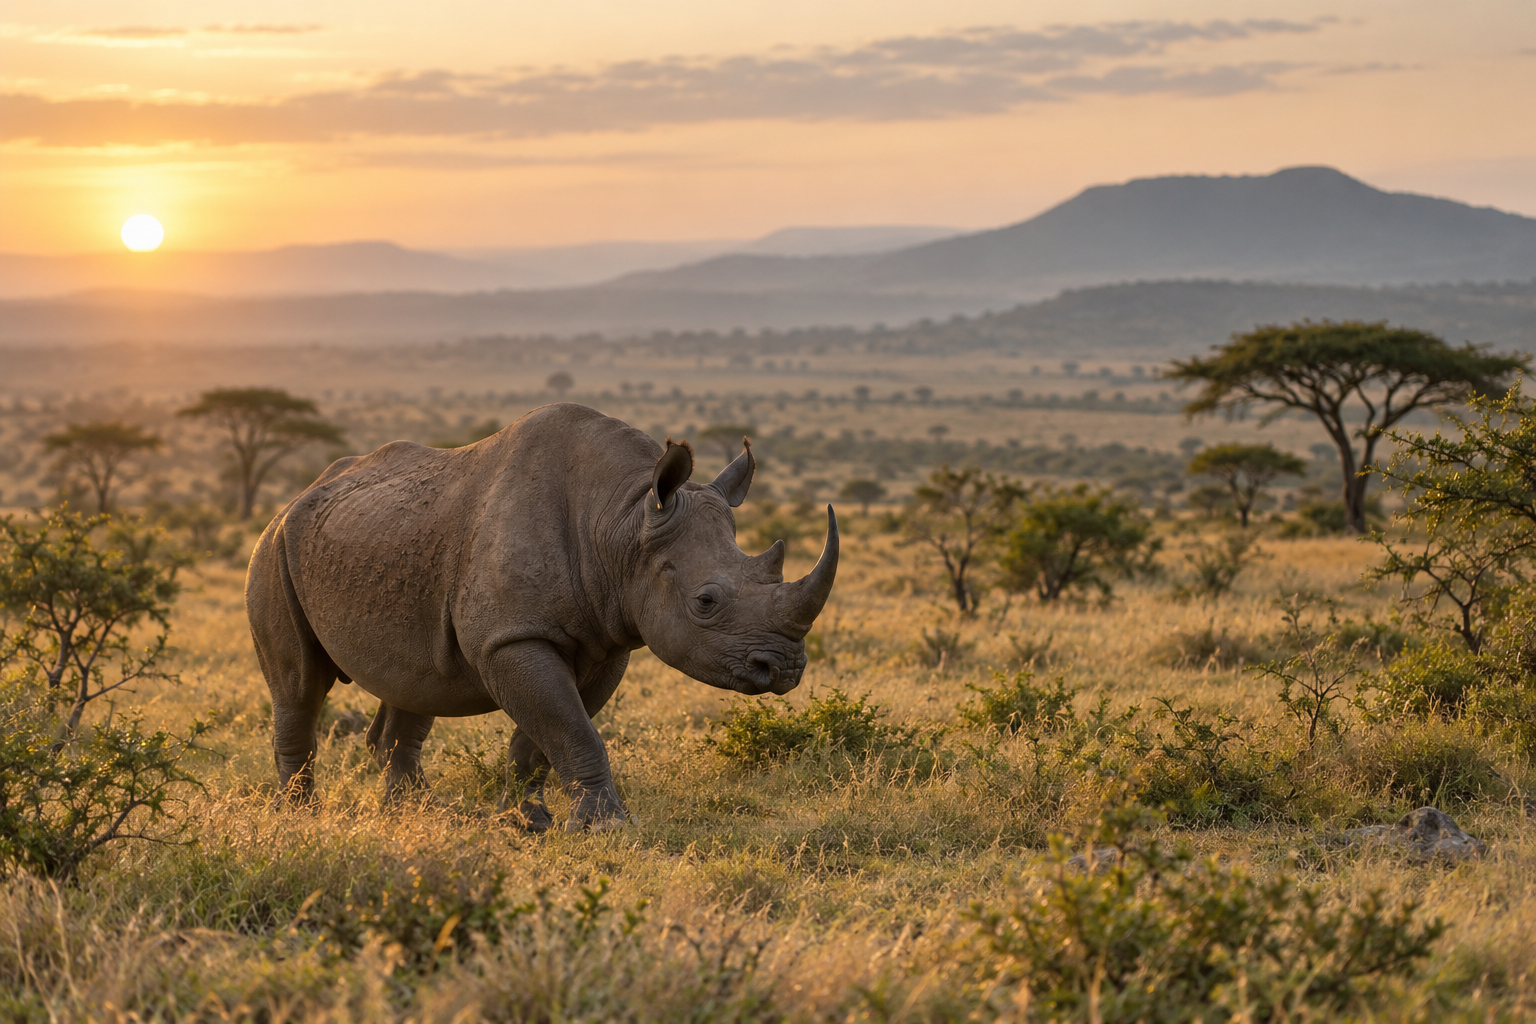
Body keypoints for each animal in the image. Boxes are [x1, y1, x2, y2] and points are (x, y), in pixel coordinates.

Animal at [244, 403, 838, 830]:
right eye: (706, 602)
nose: (784, 669)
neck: (624, 518)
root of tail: (295, 498)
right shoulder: (511, 637)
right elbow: (571, 728)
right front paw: (605, 830)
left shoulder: (608, 639)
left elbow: (547, 735)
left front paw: (525, 820)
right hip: (274, 550)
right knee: (299, 686)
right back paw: (298, 818)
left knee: (415, 683)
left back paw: (418, 814)